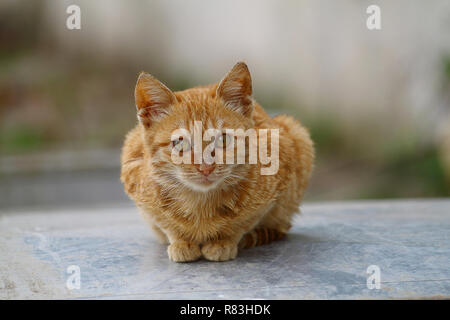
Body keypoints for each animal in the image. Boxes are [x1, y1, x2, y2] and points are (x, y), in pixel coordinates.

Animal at [121, 62, 314, 262]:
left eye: (223, 140)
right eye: (180, 143)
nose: (206, 167)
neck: (200, 203)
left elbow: (243, 223)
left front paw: (223, 241)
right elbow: (166, 224)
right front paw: (181, 241)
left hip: (297, 133)